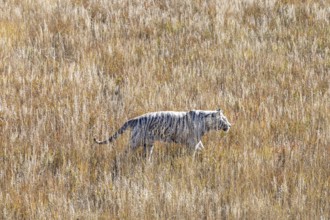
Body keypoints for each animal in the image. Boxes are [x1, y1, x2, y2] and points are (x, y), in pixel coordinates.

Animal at [94, 109, 231, 159]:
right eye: (224, 118)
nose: (230, 125)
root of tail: (135, 119)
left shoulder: (197, 141)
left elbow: (202, 148)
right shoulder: (193, 142)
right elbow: (193, 153)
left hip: (148, 144)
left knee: (146, 156)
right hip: (135, 142)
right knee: (125, 153)